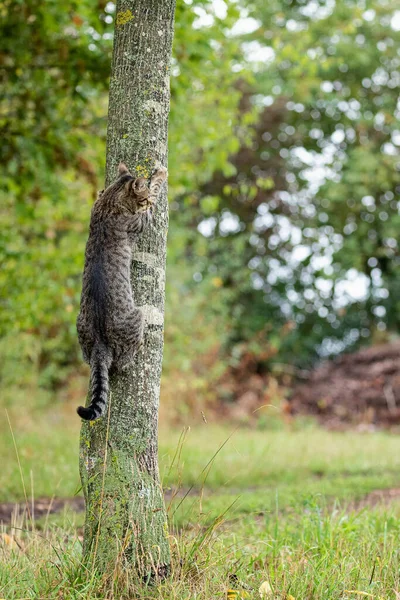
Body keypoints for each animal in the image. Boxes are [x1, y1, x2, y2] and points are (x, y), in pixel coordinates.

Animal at [76, 162, 167, 420]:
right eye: (143, 200)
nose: (145, 202)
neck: (111, 202)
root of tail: (99, 345)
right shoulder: (143, 220)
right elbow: (156, 190)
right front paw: (159, 175)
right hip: (137, 317)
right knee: (122, 363)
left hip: (81, 329)